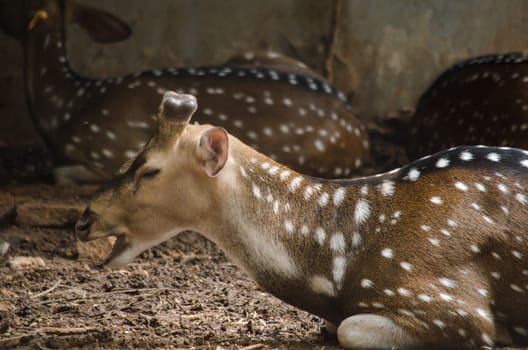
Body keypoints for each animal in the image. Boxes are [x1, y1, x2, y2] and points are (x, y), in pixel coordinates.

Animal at [76, 91, 528, 348]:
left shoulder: (451, 306)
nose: (83, 221)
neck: (336, 270)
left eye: (149, 170)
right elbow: (333, 327)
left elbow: (348, 330)